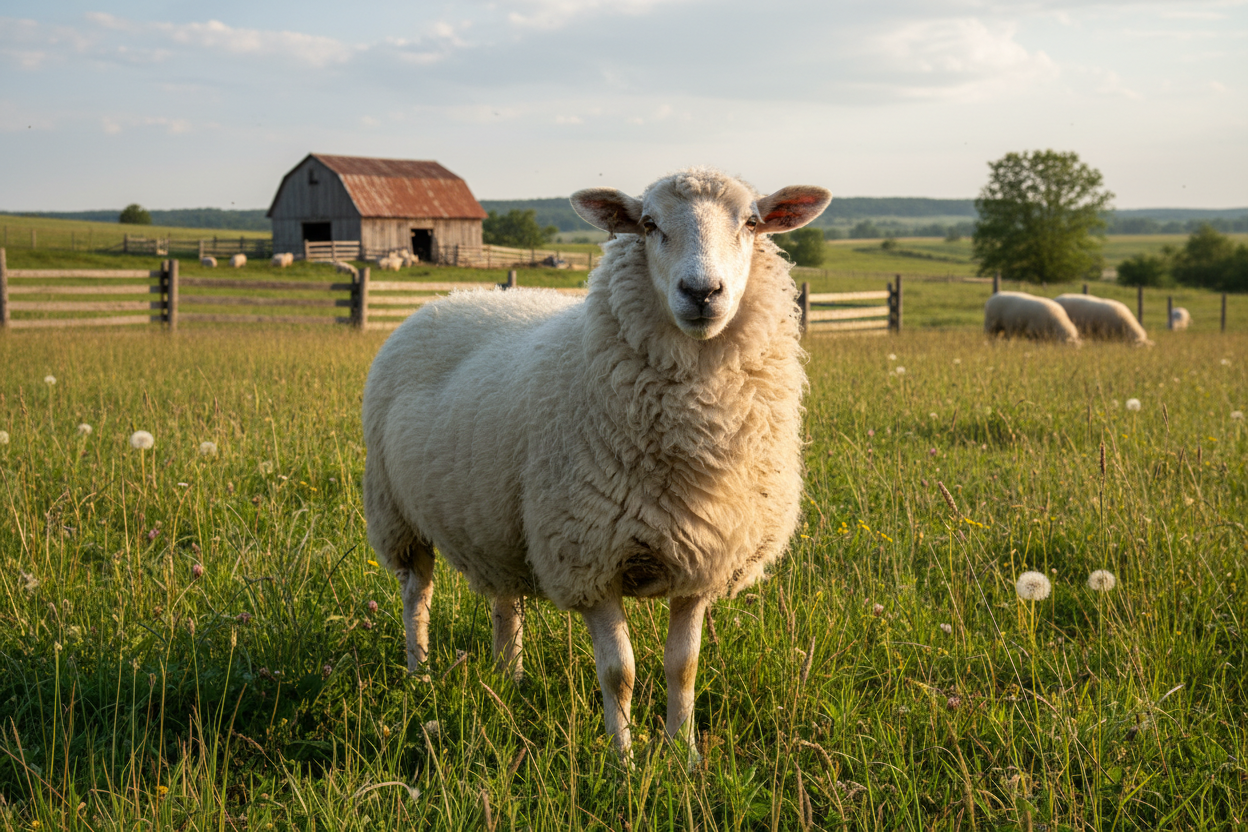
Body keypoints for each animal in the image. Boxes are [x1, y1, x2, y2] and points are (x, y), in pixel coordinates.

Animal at [362, 167, 830, 762]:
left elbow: (684, 667)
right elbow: (619, 672)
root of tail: (444, 299)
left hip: (499, 524)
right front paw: (623, 759)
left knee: (505, 601)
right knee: (416, 596)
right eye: (648, 224)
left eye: (751, 222)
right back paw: (419, 674)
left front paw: (684, 754)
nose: (702, 292)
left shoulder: (703, 557)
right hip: (396, 515)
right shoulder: (588, 557)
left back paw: (509, 678)